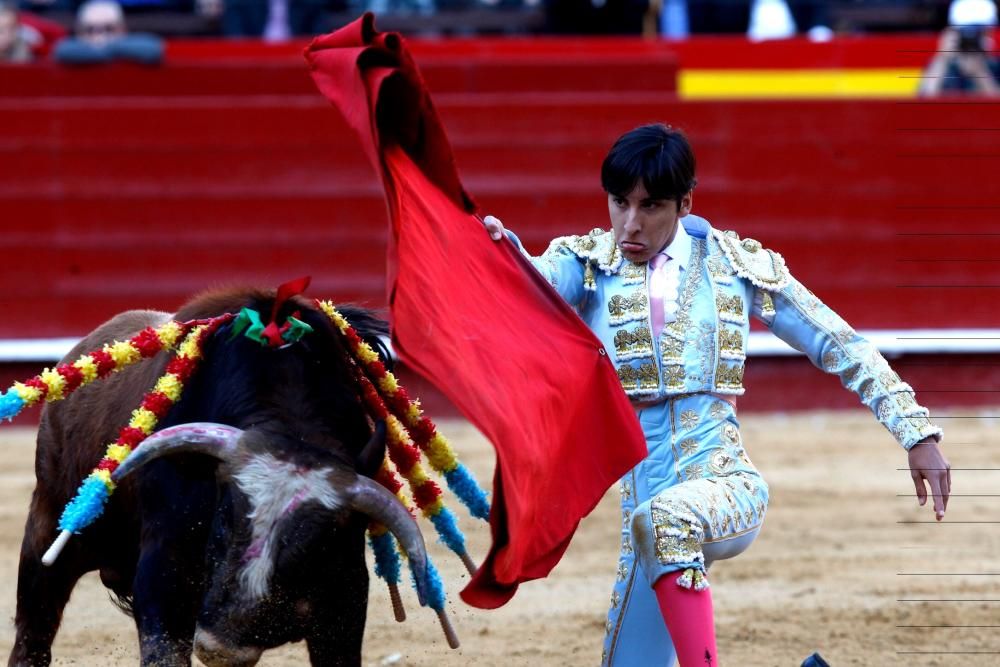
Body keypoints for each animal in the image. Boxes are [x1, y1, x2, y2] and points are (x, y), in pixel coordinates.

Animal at [8, 288, 434, 667]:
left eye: (313, 546)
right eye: (224, 521)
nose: (221, 647)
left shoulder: (344, 592)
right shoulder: (164, 575)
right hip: (47, 531)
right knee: (33, 636)